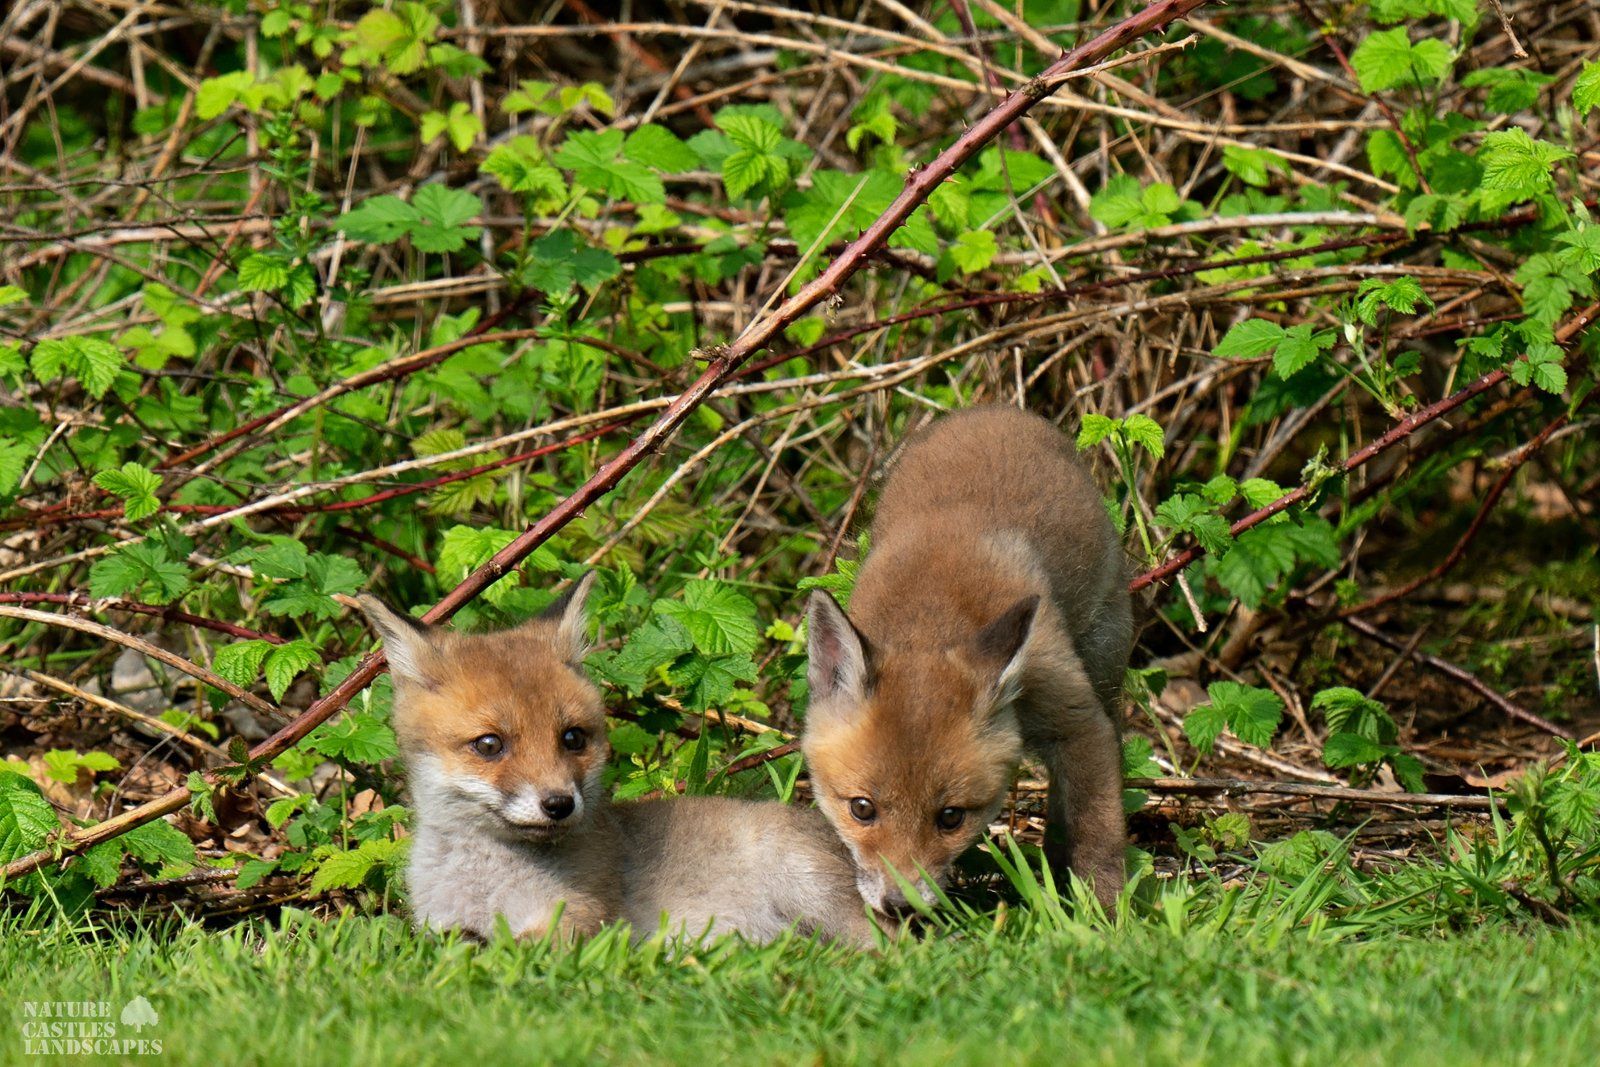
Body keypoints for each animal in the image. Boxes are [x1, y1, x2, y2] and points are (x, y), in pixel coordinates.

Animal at [358, 575, 880, 946]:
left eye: (572, 738)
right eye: (489, 745)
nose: (559, 804)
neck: (491, 887)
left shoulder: (584, 915)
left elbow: (519, 946)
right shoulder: (435, 923)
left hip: (811, 890)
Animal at [801, 405, 1133, 912]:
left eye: (951, 817)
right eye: (862, 809)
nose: (901, 906)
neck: (931, 614)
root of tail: (997, 410)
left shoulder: (1074, 714)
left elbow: (1099, 832)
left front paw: (1107, 914)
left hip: (1105, 660)